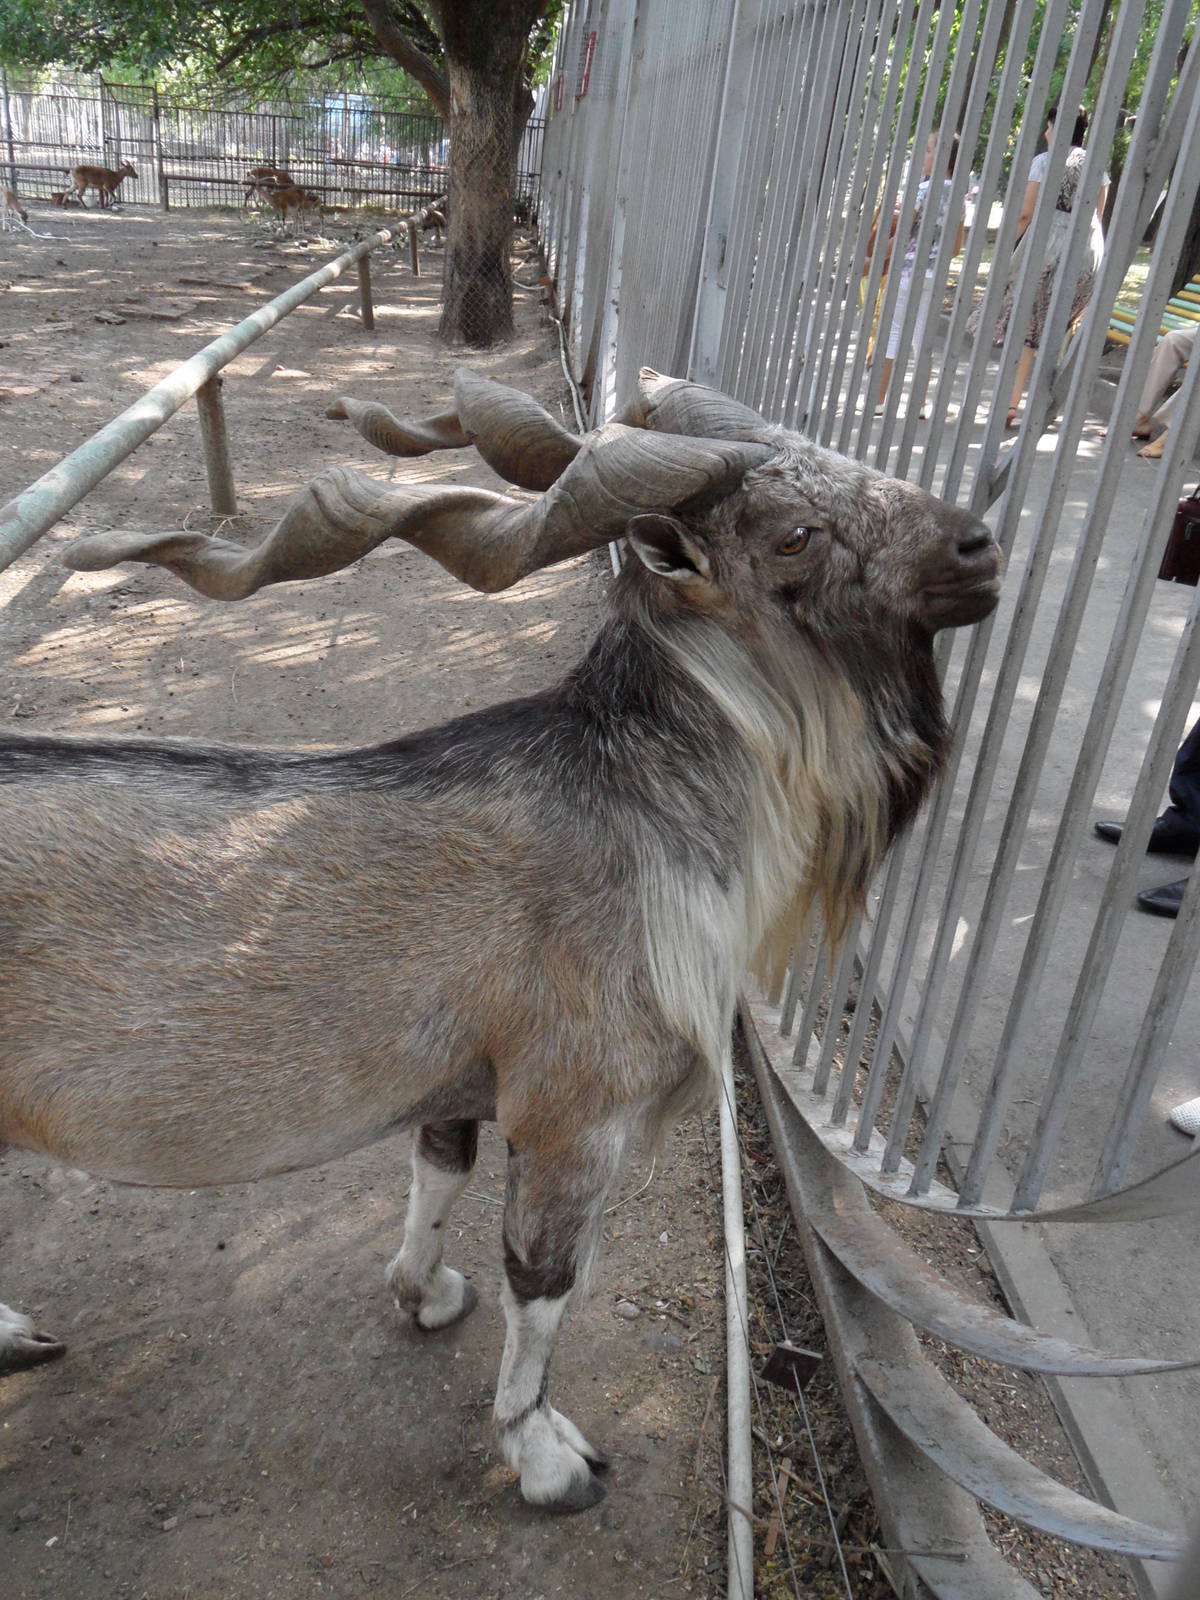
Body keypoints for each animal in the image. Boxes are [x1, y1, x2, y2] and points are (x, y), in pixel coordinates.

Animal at [0, 369, 1001, 1512]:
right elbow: (545, 1281)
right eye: (794, 533)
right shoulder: (578, 1114)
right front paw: (546, 1455)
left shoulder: (459, 1083)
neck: (628, 807)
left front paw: (425, 1292)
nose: (977, 545)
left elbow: (440, 1173)